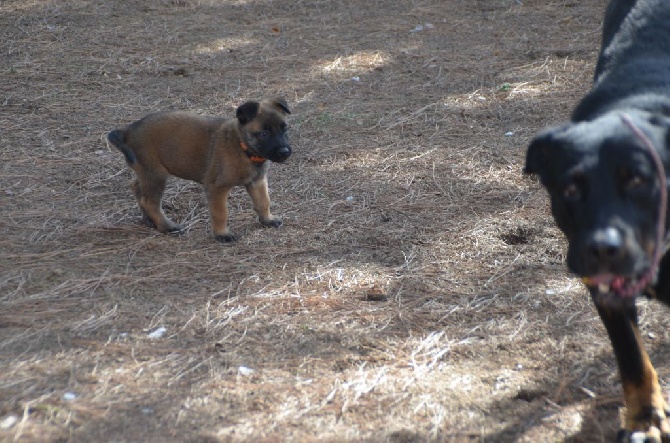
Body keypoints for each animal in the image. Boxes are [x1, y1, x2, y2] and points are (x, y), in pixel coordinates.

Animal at [107, 98, 292, 243]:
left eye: (285, 129)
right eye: (264, 133)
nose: (285, 152)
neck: (242, 147)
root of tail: (127, 131)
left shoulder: (257, 181)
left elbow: (263, 201)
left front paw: (267, 219)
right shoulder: (216, 188)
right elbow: (220, 212)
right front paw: (221, 234)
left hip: (146, 172)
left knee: (136, 187)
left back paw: (149, 220)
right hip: (156, 175)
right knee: (150, 202)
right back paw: (166, 226)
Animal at [528, 0, 670, 440]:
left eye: (640, 180)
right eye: (571, 189)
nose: (603, 247)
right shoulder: (606, 294)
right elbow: (632, 358)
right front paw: (645, 417)